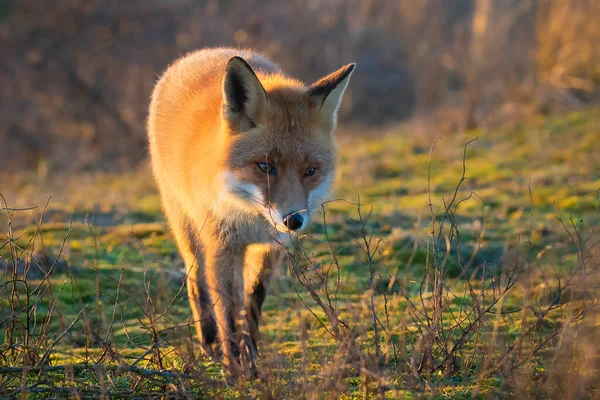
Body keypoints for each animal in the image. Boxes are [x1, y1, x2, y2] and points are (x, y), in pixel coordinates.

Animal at [147, 47, 354, 376]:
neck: (249, 216)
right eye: (265, 167)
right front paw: (234, 368)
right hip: (185, 226)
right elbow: (227, 309)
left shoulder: (272, 245)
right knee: (196, 281)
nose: (293, 220)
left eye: (310, 171)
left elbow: (253, 299)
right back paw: (208, 342)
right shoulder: (222, 245)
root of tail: (199, 53)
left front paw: (251, 356)